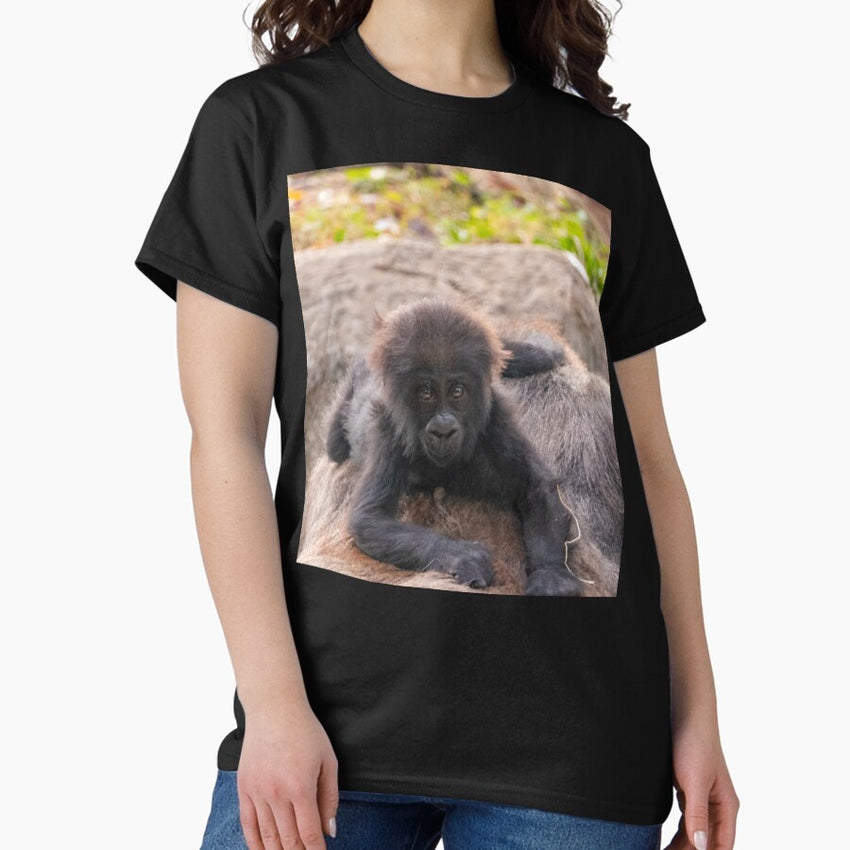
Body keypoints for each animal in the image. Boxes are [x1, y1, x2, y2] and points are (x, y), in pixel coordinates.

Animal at [324, 297, 585, 596]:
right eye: (425, 392)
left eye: (457, 391)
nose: (443, 430)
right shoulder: (387, 425)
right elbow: (370, 519)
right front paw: (465, 558)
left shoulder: (493, 416)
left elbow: (535, 486)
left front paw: (550, 574)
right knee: (335, 442)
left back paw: (537, 354)